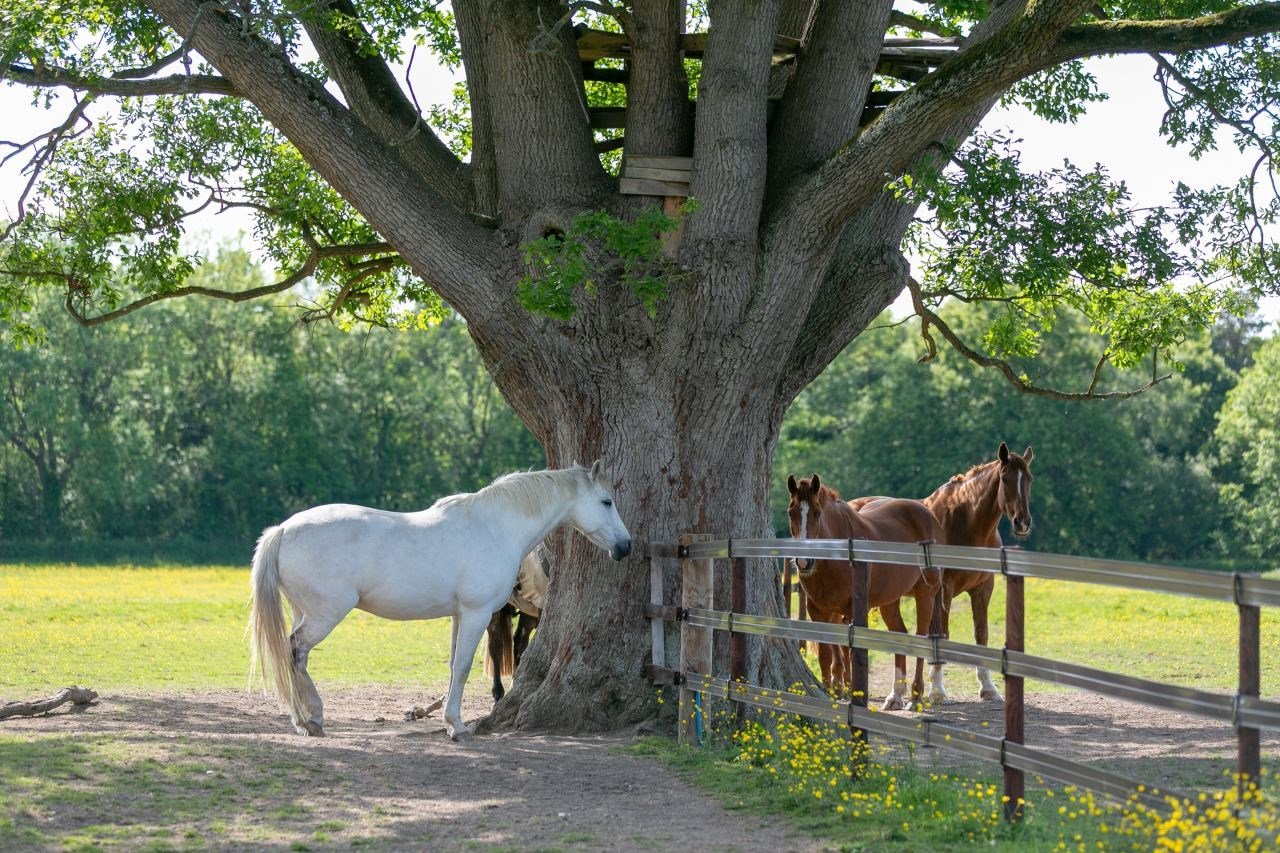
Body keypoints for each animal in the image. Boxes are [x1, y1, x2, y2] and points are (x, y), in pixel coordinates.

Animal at [245, 458, 629, 737]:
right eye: (607, 501)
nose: (625, 546)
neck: (496, 526)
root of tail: (283, 530)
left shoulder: (460, 615)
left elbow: (453, 666)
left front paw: (449, 720)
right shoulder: (477, 614)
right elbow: (463, 666)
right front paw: (457, 727)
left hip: (304, 612)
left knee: (297, 657)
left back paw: (304, 718)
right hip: (325, 615)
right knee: (295, 651)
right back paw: (311, 718)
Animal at [783, 473, 947, 706]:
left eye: (817, 512)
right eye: (791, 512)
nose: (804, 562)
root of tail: (928, 515)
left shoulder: (852, 612)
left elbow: (852, 652)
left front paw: (854, 693)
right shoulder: (819, 612)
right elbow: (826, 655)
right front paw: (832, 694)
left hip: (925, 594)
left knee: (920, 637)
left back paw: (916, 697)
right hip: (890, 601)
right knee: (900, 635)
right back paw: (895, 695)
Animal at [870, 440, 1039, 701]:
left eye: (1029, 478)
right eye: (1005, 478)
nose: (1022, 522)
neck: (967, 523)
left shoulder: (983, 587)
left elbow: (981, 634)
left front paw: (988, 687)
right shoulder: (944, 589)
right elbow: (943, 633)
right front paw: (937, 690)